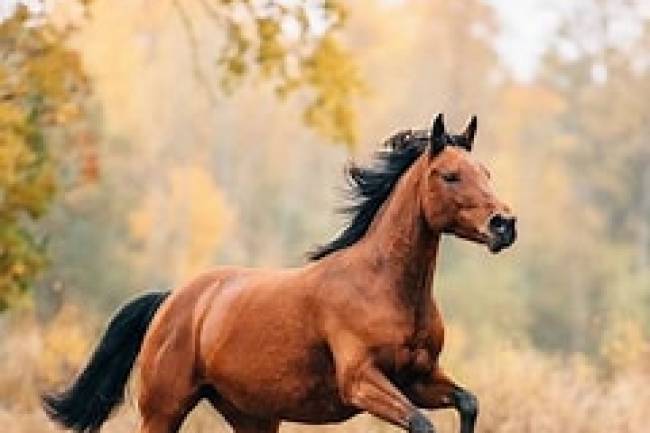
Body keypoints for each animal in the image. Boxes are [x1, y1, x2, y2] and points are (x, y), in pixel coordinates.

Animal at [42, 113, 516, 433]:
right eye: (449, 175)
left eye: (487, 173)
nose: (504, 225)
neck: (383, 287)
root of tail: (173, 299)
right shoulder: (361, 380)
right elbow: (422, 424)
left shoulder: (417, 378)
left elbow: (469, 402)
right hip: (164, 409)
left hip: (253, 417)